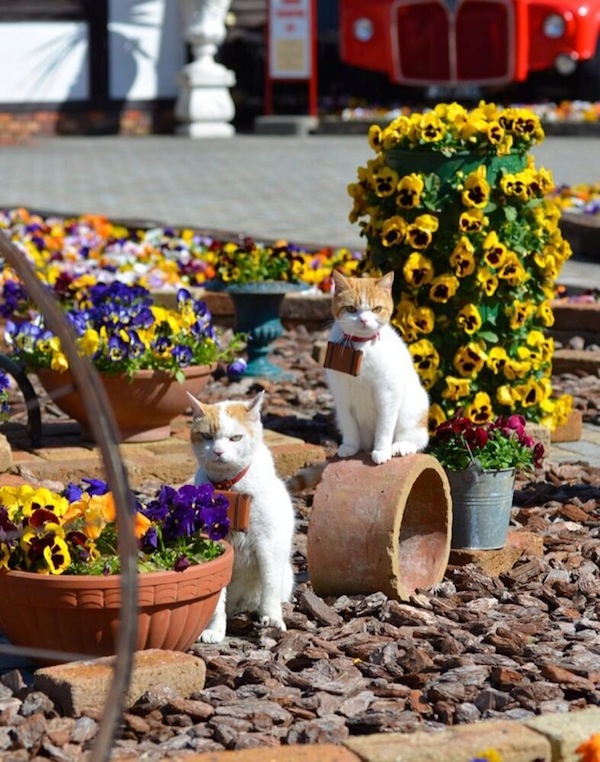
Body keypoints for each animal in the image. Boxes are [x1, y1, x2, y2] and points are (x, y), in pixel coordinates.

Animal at [188, 388, 296, 644]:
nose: (218, 451)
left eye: (235, 438)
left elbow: (269, 585)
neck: (230, 488)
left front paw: (272, 619)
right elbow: (216, 597)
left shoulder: (268, 543)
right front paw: (215, 629)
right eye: (207, 436)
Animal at [326, 270, 428, 466]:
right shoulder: (342, 397)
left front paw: (381, 451)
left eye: (376, 309)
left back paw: (401, 446)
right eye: (351, 309)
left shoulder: (388, 395)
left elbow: (384, 428)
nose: (364, 320)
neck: (362, 347)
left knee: (417, 438)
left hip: (414, 408)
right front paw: (350, 446)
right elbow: (349, 425)